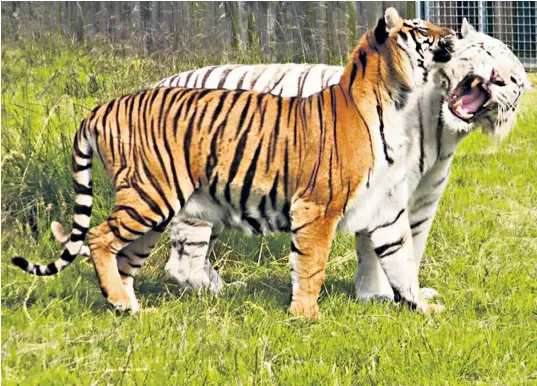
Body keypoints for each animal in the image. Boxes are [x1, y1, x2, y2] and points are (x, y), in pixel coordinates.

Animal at [12, 8, 454, 316]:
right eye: (422, 29)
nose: (452, 32)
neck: (398, 100)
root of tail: (101, 108)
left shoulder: (386, 209)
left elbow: (402, 263)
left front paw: (424, 308)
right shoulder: (316, 207)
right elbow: (311, 264)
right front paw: (306, 316)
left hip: (153, 213)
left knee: (124, 258)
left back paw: (129, 306)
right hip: (150, 195)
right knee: (99, 238)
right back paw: (122, 302)